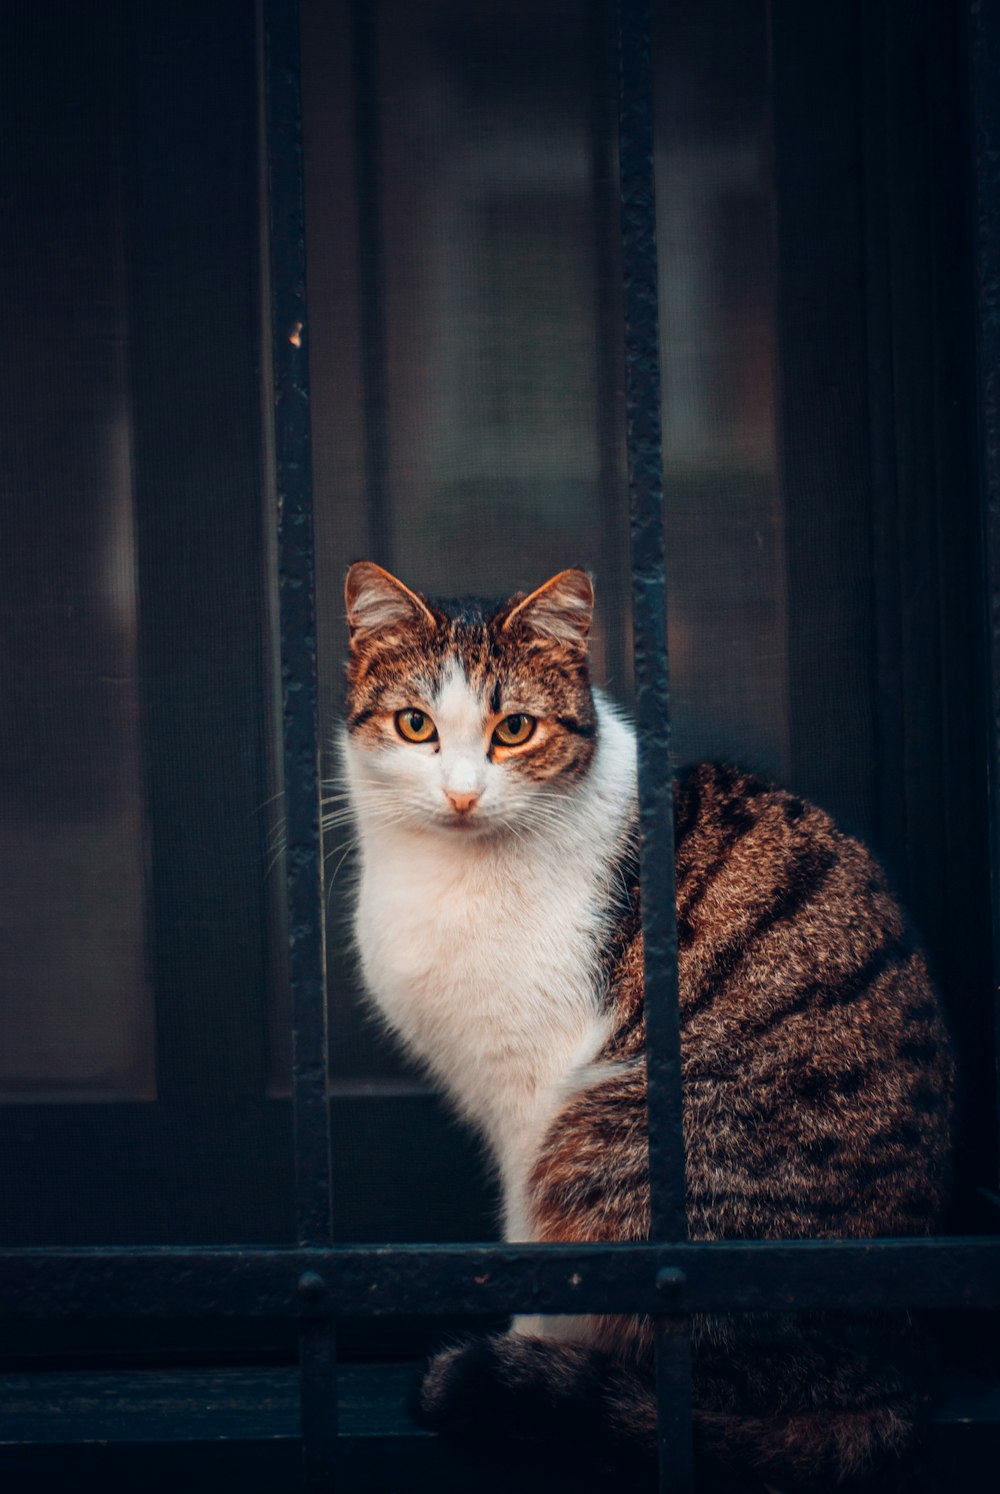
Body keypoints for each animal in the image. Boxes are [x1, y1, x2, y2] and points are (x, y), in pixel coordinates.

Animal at [340, 561, 950, 1494]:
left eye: (513, 730)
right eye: (416, 726)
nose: (462, 794)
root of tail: (894, 1383)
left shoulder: (536, 1101)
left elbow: (534, 1243)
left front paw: (525, 1349)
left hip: (603, 1137)